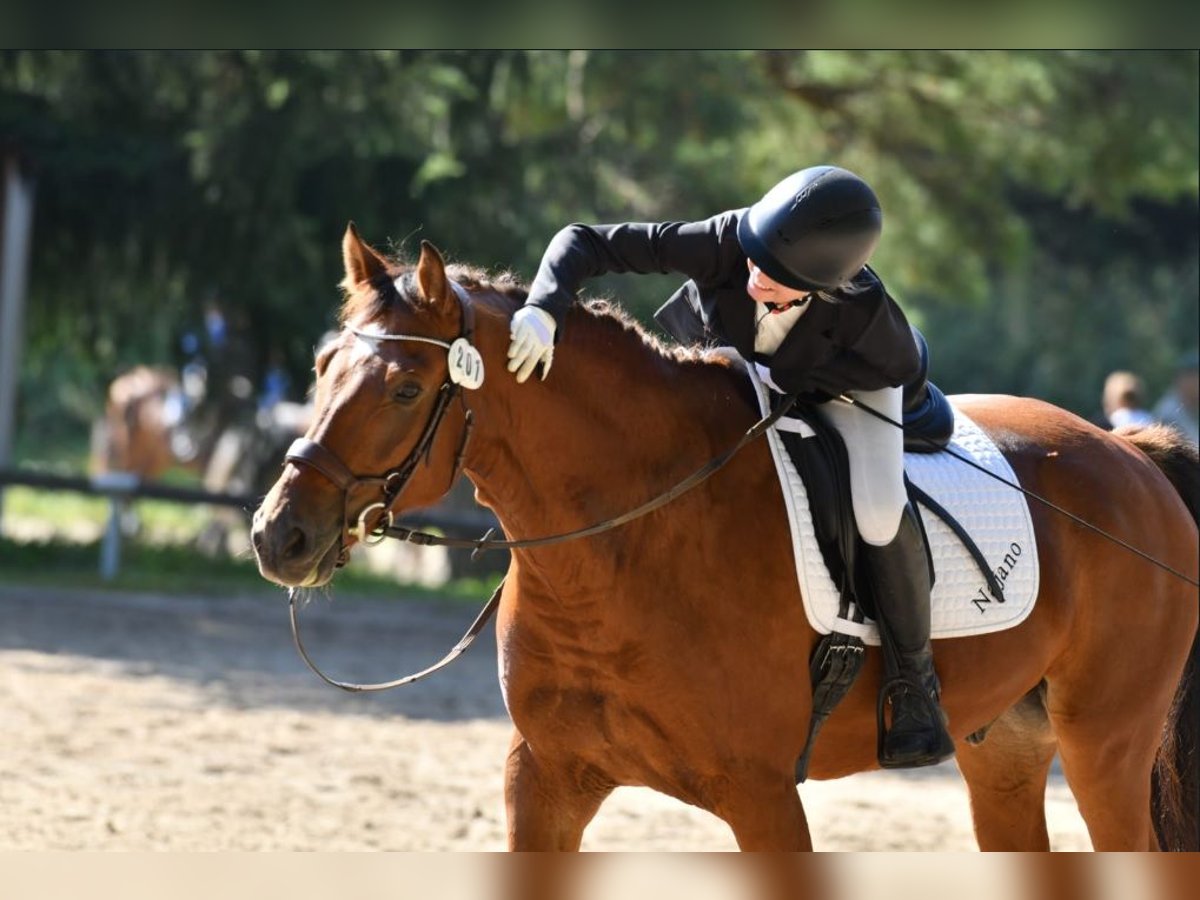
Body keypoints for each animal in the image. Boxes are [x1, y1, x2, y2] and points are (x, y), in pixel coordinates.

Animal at [248, 229, 1195, 849]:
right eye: (323, 367)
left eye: (406, 389)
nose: (278, 537)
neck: (622, 551)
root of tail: (1131, 455)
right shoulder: (545, 779)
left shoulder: (762, 796)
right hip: (1005, 748)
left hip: (1104, 748)